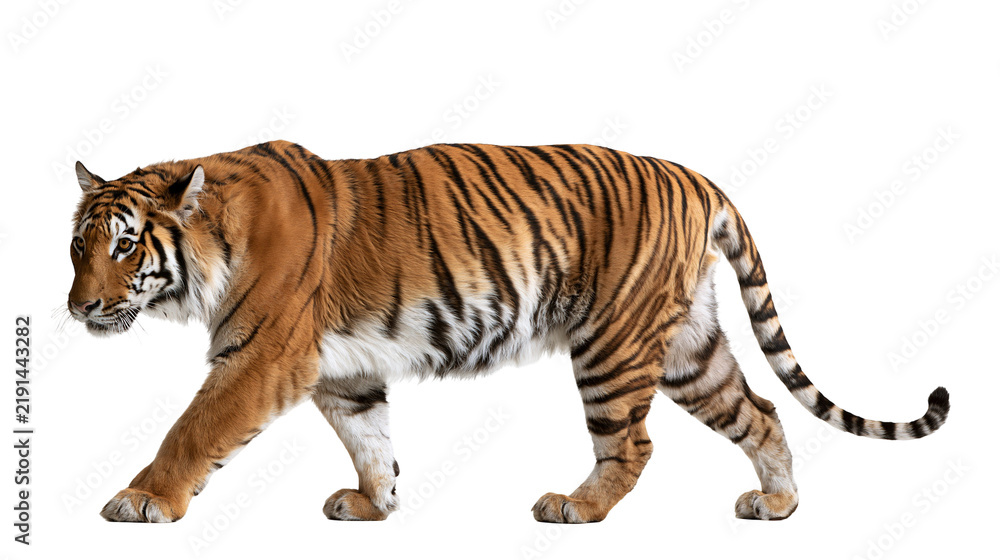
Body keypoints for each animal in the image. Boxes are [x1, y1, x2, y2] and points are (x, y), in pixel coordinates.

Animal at [68, 140, 950, 524]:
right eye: (79, 246)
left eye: (126, 246)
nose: (79, 309)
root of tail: (697, 176)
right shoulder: (343, 371)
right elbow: (370, 437)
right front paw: (375, 504)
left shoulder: (259, 356)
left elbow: (192, 430)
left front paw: (141, 500)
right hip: (688, 349)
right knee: (760, 411)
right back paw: (779, 504)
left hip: (614, 342)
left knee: (632, 444)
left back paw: (575, 508)